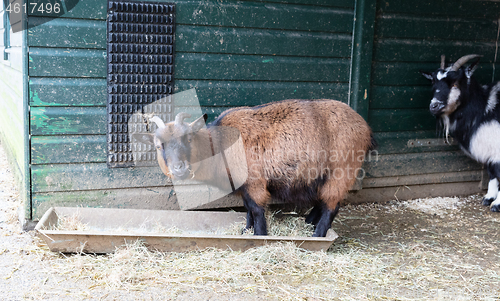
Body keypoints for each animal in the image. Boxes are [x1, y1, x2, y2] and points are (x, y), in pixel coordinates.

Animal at [135, 99, 374, 236]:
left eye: (189, 138)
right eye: (158, 145)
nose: (179, 169)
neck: (221, 145)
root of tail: (364, 125)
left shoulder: (255, 182)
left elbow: (257, 210)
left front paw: (260, 235)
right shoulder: (244, 187)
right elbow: (248, 209)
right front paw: (245, 231)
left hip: (341, 171)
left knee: (332, 206)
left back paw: (317, 235)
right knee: (324, 201)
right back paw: (308, 223)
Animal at [420, 54, 500, 211]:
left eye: (455, 84)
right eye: (433, 83)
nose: (434, 106)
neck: (484, 108)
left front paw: (497, 204)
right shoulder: (491, 149)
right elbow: (492, 172)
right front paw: (488, 198)